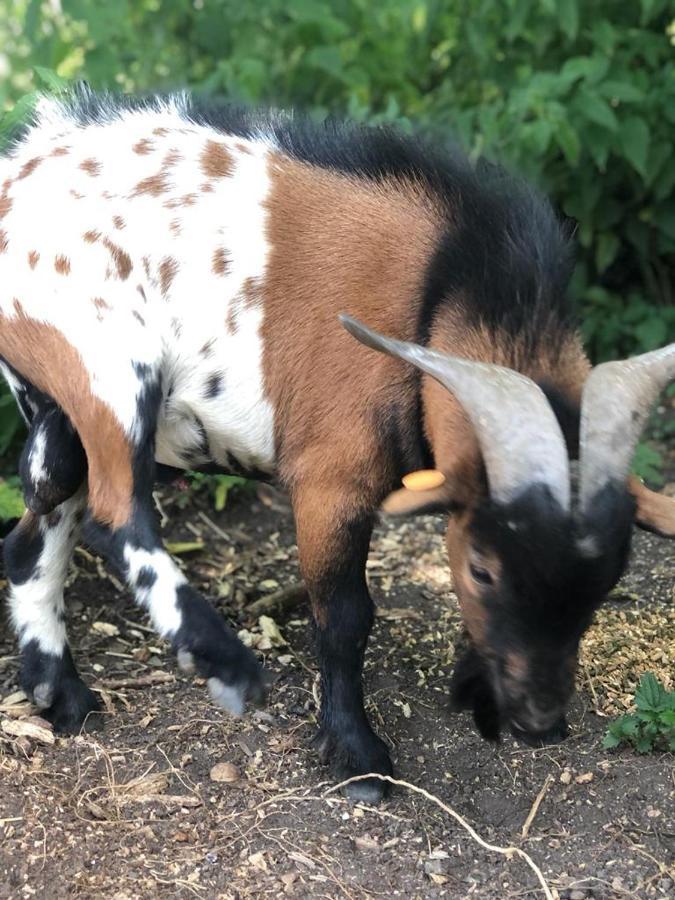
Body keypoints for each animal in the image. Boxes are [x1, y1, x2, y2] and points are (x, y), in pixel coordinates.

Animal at [1, 86, 675, 800]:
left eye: (610, 579)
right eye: (482, 570)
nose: (540, 721)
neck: (440, 291)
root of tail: (18, 171)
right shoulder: (331, 480)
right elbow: (345, 617)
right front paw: (357, 756)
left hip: (61, 409)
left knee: (34, 532)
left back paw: (58, 694)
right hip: (108, 364)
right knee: (113, 514)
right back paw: (226, 665)